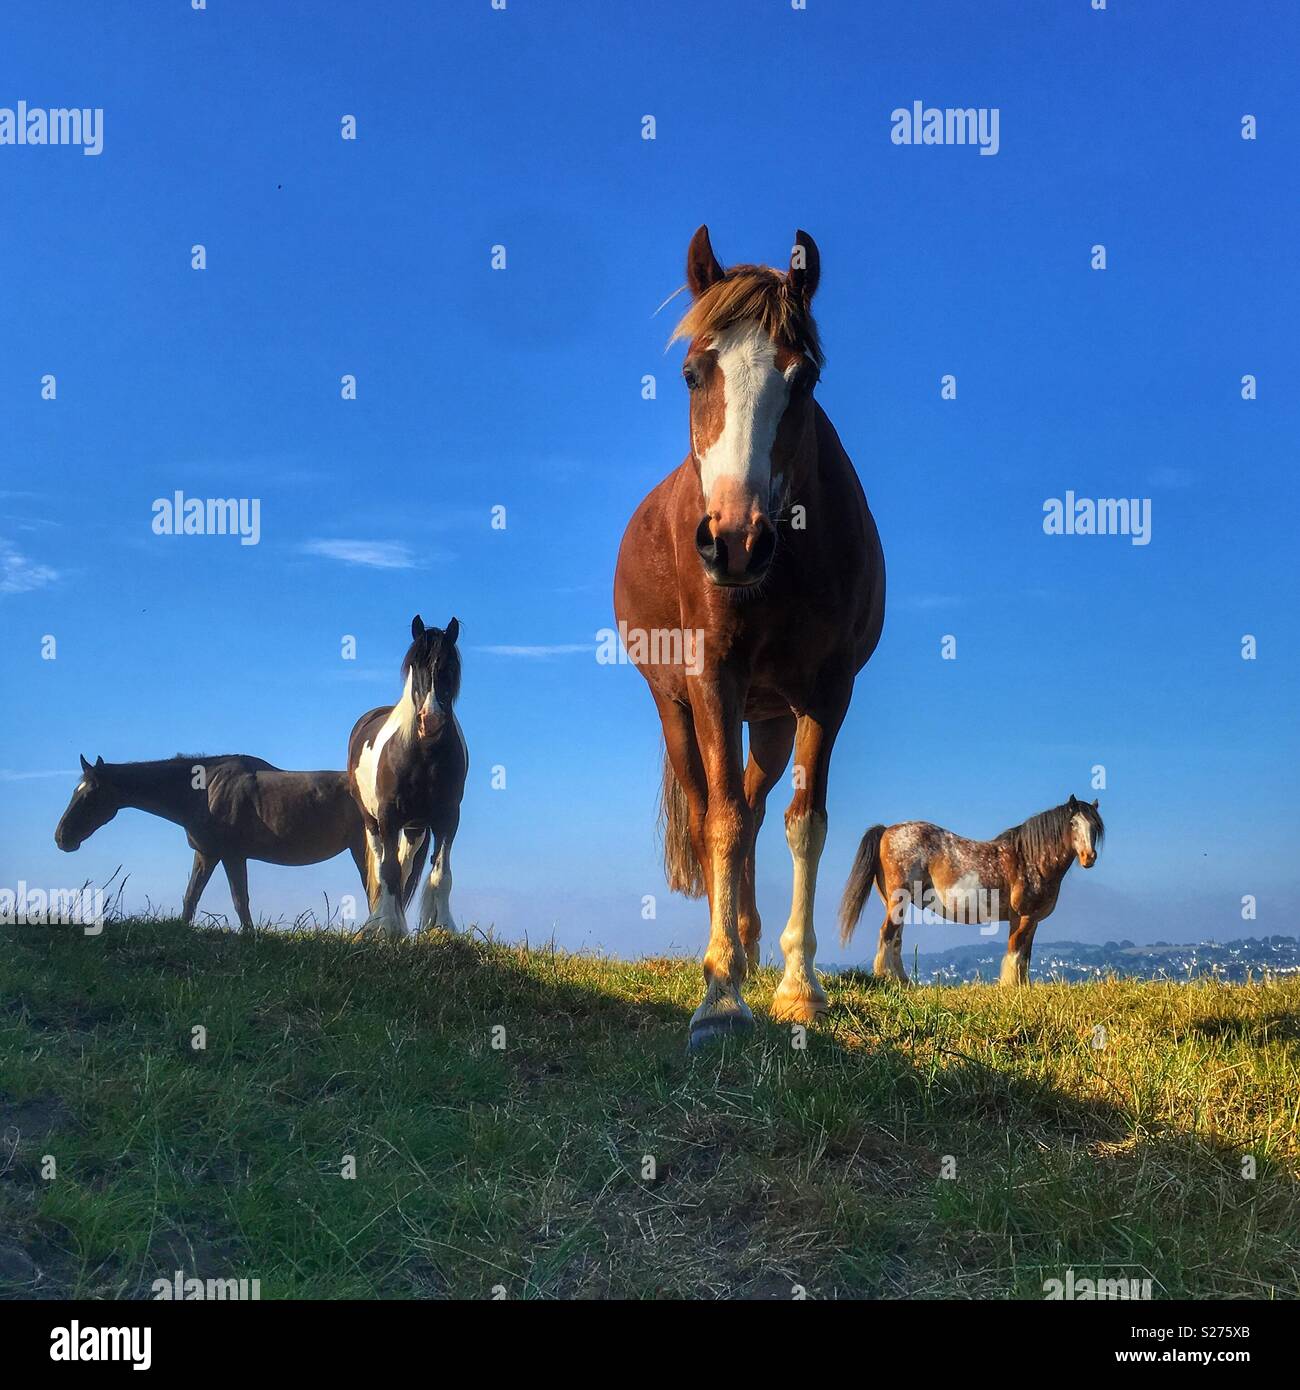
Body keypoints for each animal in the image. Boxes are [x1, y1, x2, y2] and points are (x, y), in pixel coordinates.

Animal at [54, 753, 369, 930]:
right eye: (74, 791)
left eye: (89, 795)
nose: (61, 838)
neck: (203, 790)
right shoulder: (207, 853)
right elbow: (191, 896)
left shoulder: (231, 855)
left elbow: (240, 900)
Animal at [346, 615, 468, 940]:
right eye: (415, 664)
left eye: (450, 665)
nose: (431, 720)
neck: (422, 753)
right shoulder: (388, 816)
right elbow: (387, 870)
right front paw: (387, 928)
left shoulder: (448, 818)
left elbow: (442, 873)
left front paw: (443, 927)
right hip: (371, 821)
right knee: (381, 866)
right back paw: (379, 919)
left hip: (415, 828)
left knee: (405, 866)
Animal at [613, 225, 886, 1049]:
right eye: (692, 373)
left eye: (805, 379)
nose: (735, 542)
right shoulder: (713, 679)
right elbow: (723, 825)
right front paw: (721, 993)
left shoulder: (827, 694)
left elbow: (804, 823)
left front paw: (798, 985)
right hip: (679, 708)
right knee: (713, 811)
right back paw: (723, 947)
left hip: (767, 720)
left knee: (759, 808)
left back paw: (753, 939)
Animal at [839, 796, 1104, 986]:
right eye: (1073, 823)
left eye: (1095, 827)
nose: (1089, 857)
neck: (1030, 859)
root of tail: (886, 830)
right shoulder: (1023, 917)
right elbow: (1015, 951)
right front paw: (1010, 986)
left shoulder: (1032, 920)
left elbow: (1025, 955)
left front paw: (1022, 986)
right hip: (898, 901)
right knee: (887, 934)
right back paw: (887, 978)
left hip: (897, 905)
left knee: (895, 938)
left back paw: (904, 982)